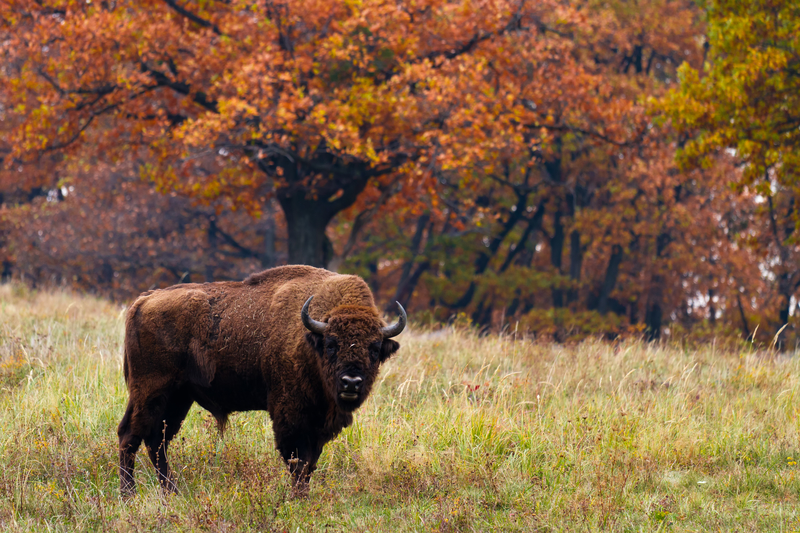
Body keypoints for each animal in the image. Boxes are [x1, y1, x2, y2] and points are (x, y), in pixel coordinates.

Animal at [117, 264, 406, 494]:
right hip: (151, 391)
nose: (351, 382)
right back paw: (129, 494)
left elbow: (310, 462)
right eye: (332, 344)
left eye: (374, 348)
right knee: (130, 435)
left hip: (178, 398)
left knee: (157, 441)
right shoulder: (291, 415)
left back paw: (172, 492)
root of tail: (145, 300)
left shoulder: (319, 423)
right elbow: (298, 461)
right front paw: (298, 498)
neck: (311, 339)